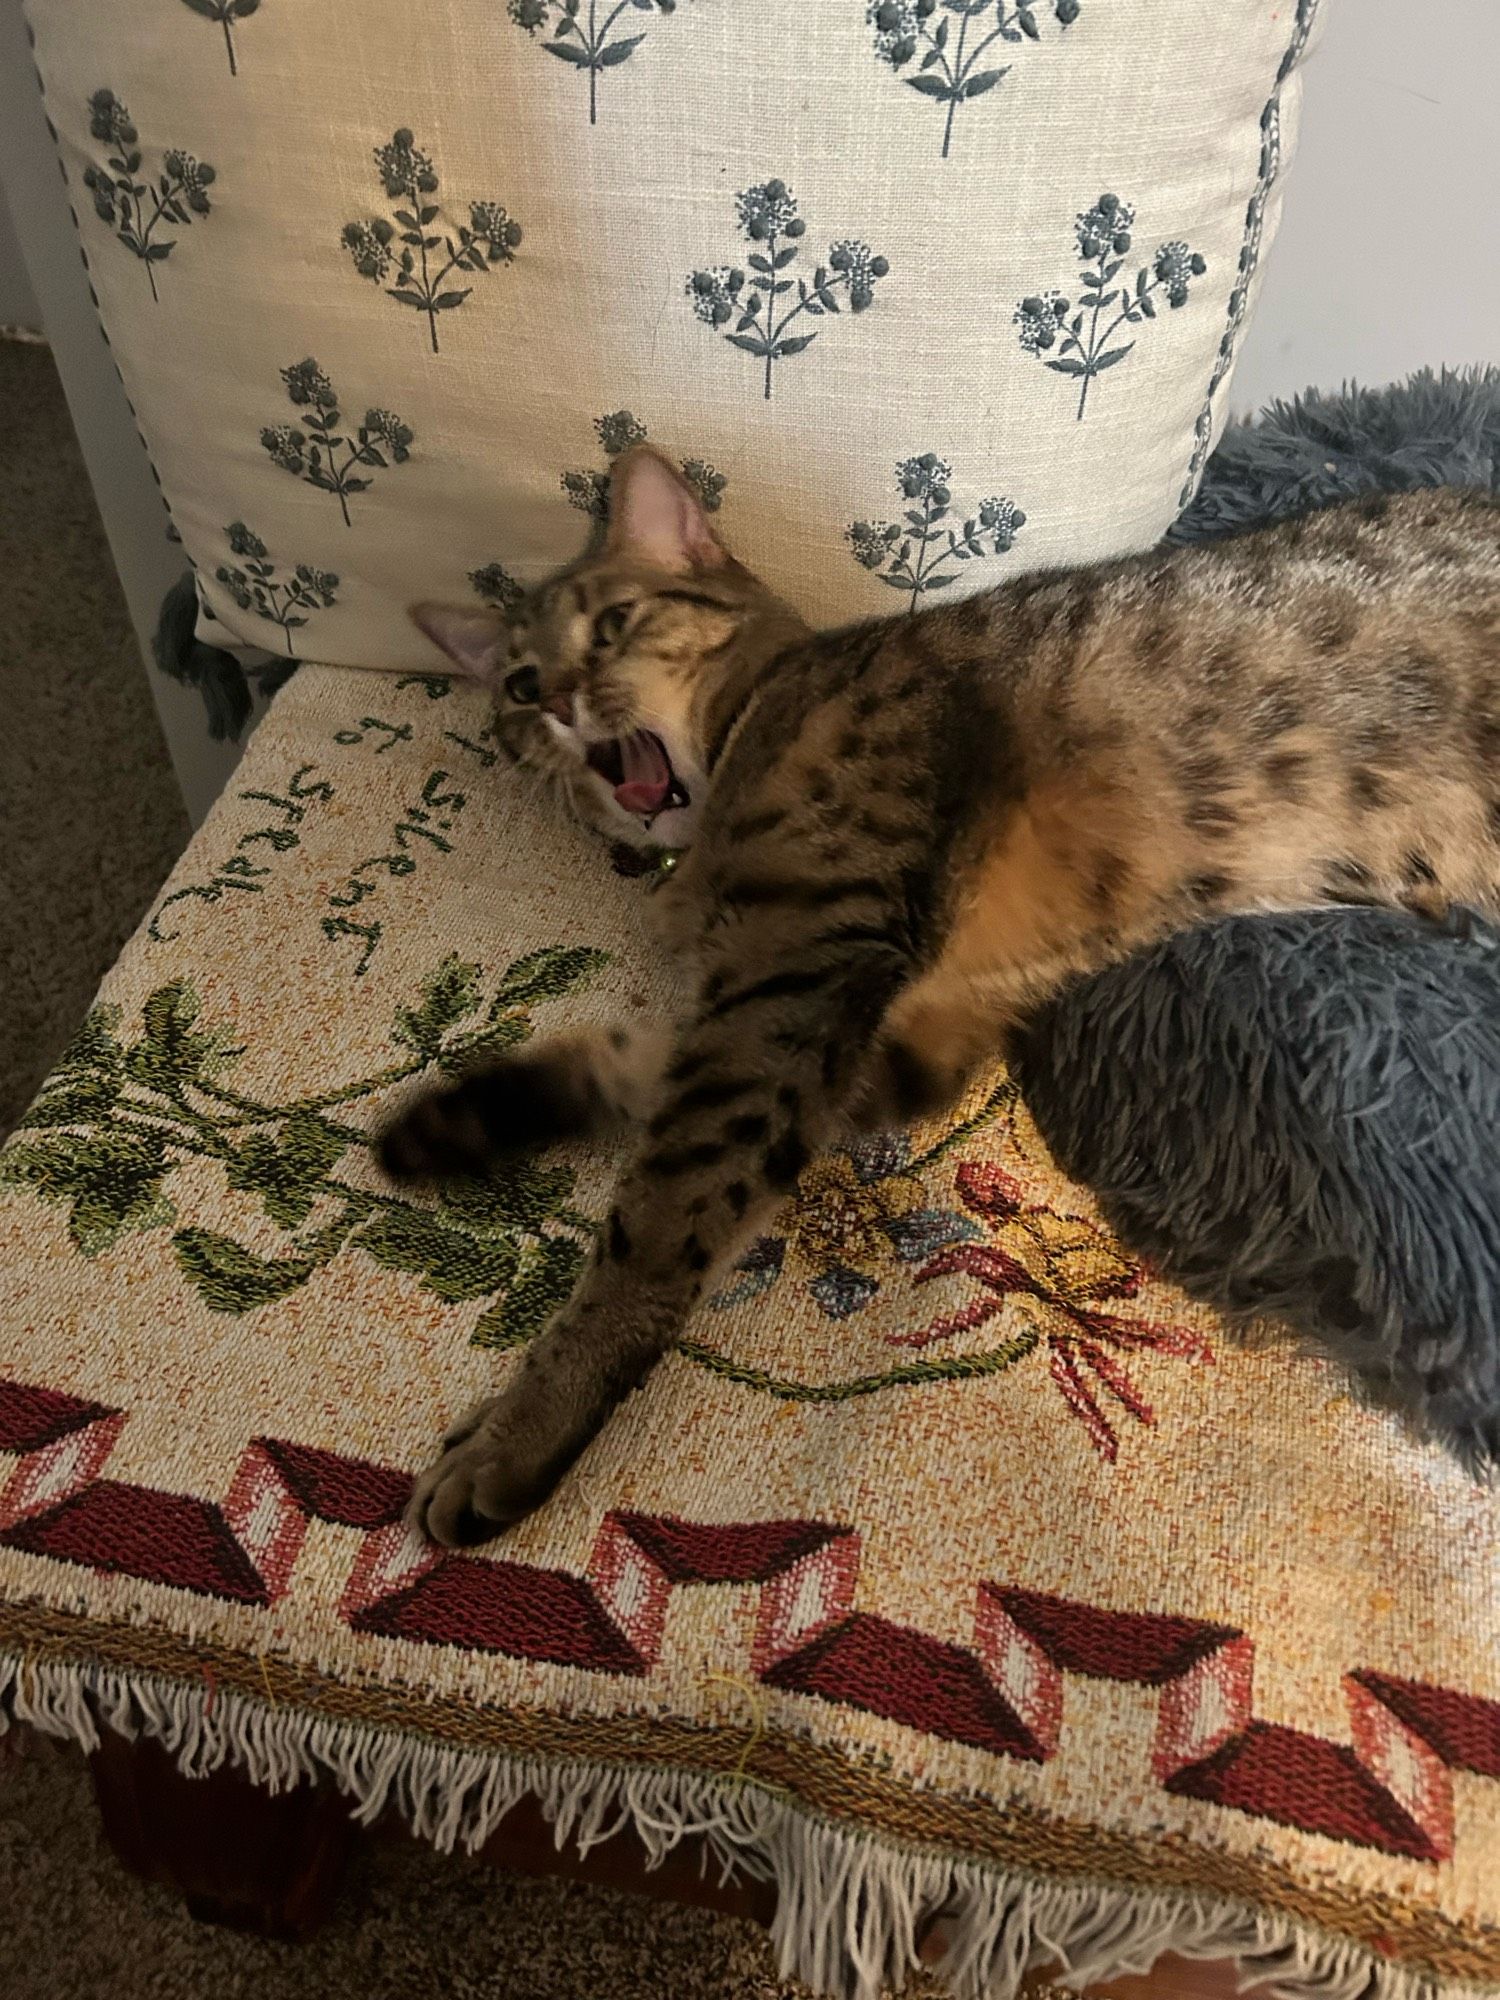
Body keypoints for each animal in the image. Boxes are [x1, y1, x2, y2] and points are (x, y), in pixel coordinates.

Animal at [390, 450, 1500, 1544]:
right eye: (518, 683)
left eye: (613, 623)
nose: (557, 700)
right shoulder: (901, 1028)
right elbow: (639, 1065)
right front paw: (466, 1118)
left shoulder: (802, 974)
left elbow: (659, 1217)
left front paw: (522, 1432)